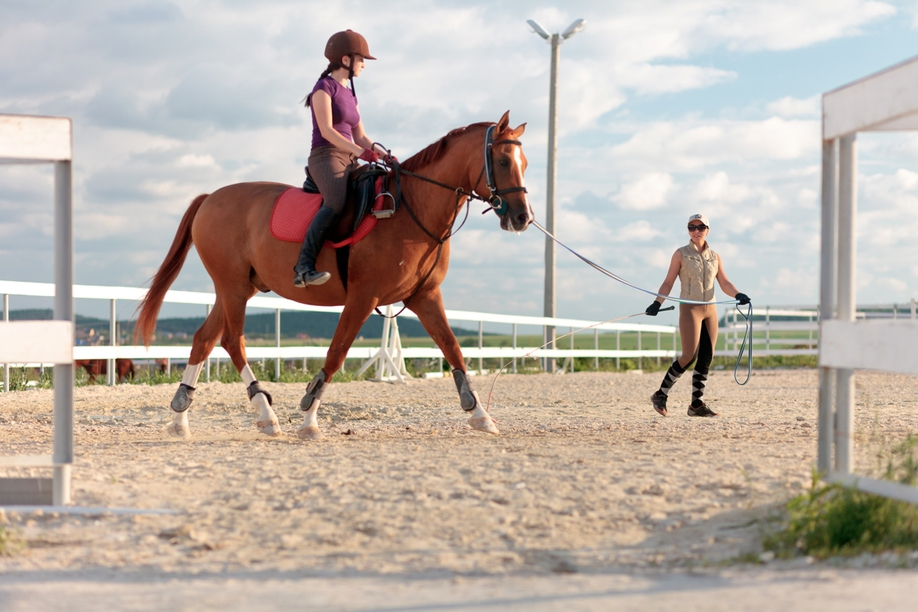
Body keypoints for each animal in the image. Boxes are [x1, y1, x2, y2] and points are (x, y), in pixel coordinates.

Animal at [132, 111, 528, 440]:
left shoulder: (425, 295)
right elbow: (336, 353)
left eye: (524, 162)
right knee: (232, 340)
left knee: (204, 339)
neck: (411, 209)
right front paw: (309, 419)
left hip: (238, 288)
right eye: (503, 161)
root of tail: (209, 197)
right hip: (232, 286)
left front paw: (480, 415)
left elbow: (453, 349)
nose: (523, 217)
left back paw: (180, 419)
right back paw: (266, 414)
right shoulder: (363, 297)